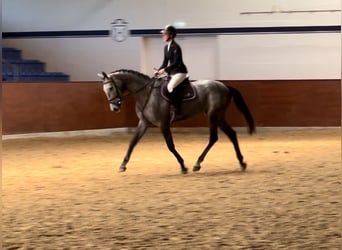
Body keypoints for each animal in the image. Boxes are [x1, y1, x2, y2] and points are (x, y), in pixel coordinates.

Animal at [97, 69, 255, 174]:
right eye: (104, 90)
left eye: (110, 87)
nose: (114, 108)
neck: (147, 94)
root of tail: (224, 86)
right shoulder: (144, 123)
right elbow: (132, 142)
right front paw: (123, 165)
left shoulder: (163, 124)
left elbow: (170, 146)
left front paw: (183, 166)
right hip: (219, 116)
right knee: (232, 134)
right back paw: (242, 163)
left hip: (213, 115)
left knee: (213, 138)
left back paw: (197, 164)